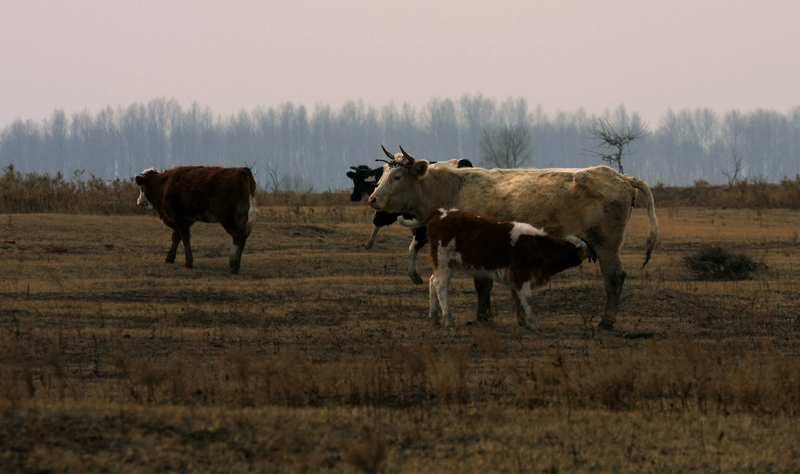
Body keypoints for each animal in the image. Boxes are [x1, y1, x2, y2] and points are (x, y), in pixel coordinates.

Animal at [406, 209, 588, 328]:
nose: (586, 252)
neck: (536, 246)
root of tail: (441, 213)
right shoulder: (522, 275)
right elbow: (527, 300)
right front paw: (533, 324)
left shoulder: (516, 279)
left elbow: (518, 300)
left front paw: (522, 322)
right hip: (445, 262)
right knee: (440, 285)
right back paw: (448, 320)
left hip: (441, 264)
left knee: (432, 281)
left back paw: (434, 318)